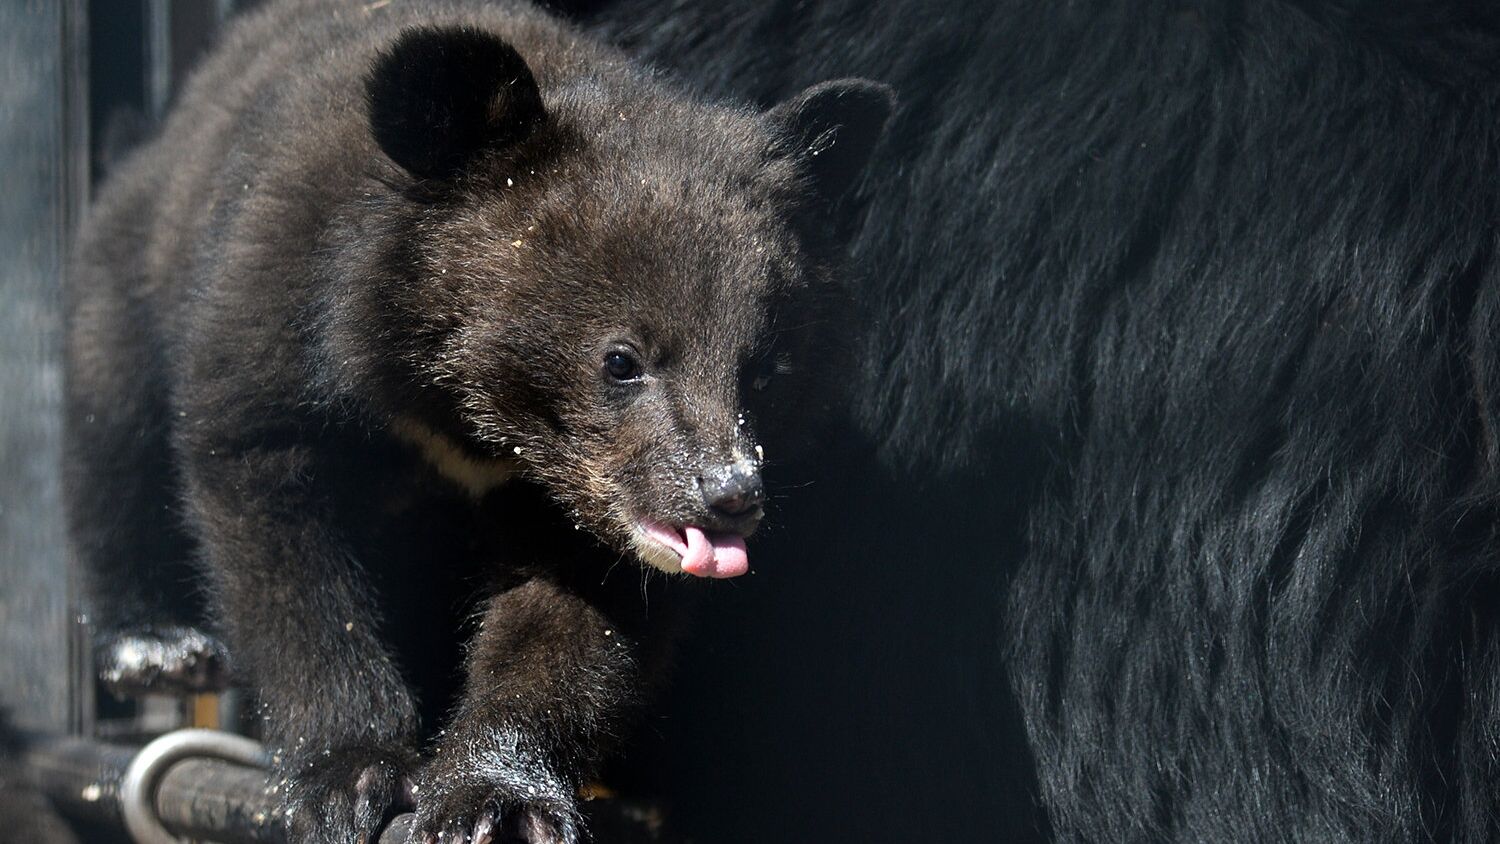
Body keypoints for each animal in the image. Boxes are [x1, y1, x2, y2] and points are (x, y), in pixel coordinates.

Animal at [64, 1, 888, 844]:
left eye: (767, 371)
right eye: (621, 360)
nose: (729, 497)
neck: (469, 415)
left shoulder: (582, 513)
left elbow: (577, 618)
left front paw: (497, 798)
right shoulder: (278, 319)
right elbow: (282, 544)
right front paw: (350, 778)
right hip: (124, 280)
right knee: (112, 439)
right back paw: (157, 646)